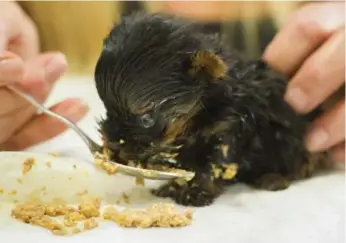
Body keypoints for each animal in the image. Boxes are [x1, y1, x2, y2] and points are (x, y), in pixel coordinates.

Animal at [94, 12, 330, 207]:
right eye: (107, 108)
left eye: (145, 118)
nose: (112, 142)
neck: (202, 112)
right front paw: (173, 185)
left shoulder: (227, 130)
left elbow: (212, 167)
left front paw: (195, 192)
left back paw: (274, 178)